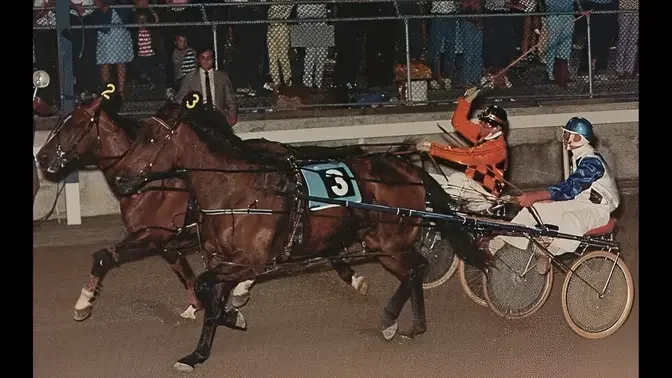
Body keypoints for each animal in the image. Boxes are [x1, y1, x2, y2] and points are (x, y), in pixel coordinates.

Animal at [111, 94, 488, 372]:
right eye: (140, 134)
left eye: (151, 138)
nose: (118, 178)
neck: (236, 190)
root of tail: (406, 167)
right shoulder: (221, 260)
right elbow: (210, 296)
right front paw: (200, 351)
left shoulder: (251, 262)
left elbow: (206, 287)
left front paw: (231, 316)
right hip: (382, 244)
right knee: (415, 269)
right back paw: (415, 326)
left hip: (390, 241)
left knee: (415, 268)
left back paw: (389, 320)